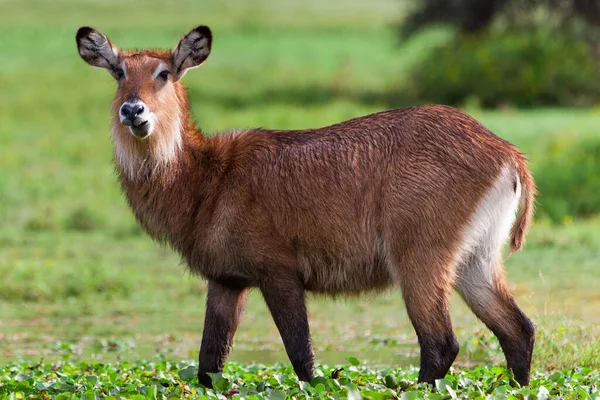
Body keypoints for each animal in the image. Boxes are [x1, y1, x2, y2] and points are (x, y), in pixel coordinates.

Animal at [76, 25, 540, 388]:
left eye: (164, 73)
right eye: (119, 72)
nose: (133, 110)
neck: (207, 179)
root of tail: (507, 152)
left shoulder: (278, 272)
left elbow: (302, 357)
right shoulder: (226, 280)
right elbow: (209, 363)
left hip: (419, 257)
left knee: (441, 344)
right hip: (475, 259)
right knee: (518, 330)